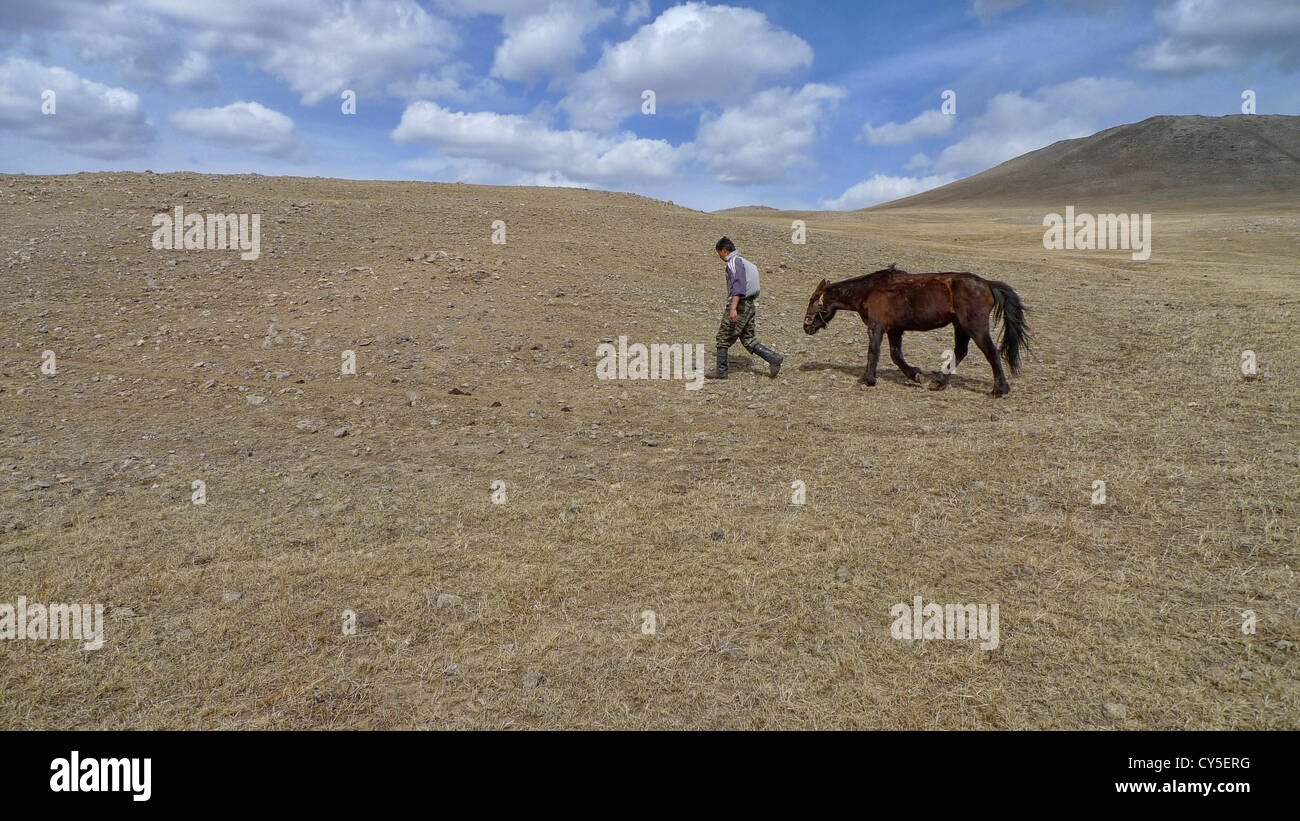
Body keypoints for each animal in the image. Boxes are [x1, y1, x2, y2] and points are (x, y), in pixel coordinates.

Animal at [802, 264, 1029, 396]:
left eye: (813, 300)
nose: (806, 326)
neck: (868, 290)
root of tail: (987, 284)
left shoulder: (877, 327)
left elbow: (873, 352)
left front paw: (868, 379)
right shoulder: (894, 330)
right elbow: (896, 356)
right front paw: (916, 375)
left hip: (974, 326)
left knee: (991, 352)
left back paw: (999, 389)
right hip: (960, 326)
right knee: (961, 351)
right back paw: (939, 383)